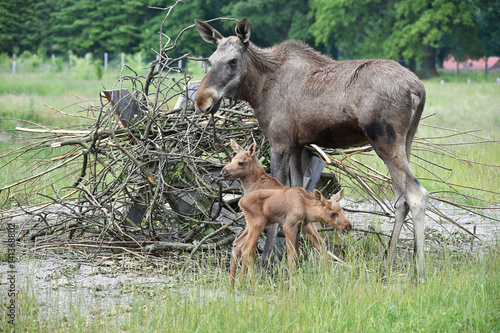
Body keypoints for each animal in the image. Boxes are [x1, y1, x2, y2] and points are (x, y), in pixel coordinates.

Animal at [193, 18, 428, 278]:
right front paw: (299, 256)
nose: (202, 101)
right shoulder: (299, 145)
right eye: (210, 59)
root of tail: (418, 89)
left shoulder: (280, 142)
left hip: (385, 141)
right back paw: (387, 263)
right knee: (400, 200)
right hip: (405, 141)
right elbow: (299, 194)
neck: (259, 88)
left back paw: (419, 269)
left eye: (233, 61)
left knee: (417, 195)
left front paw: (266, 263)